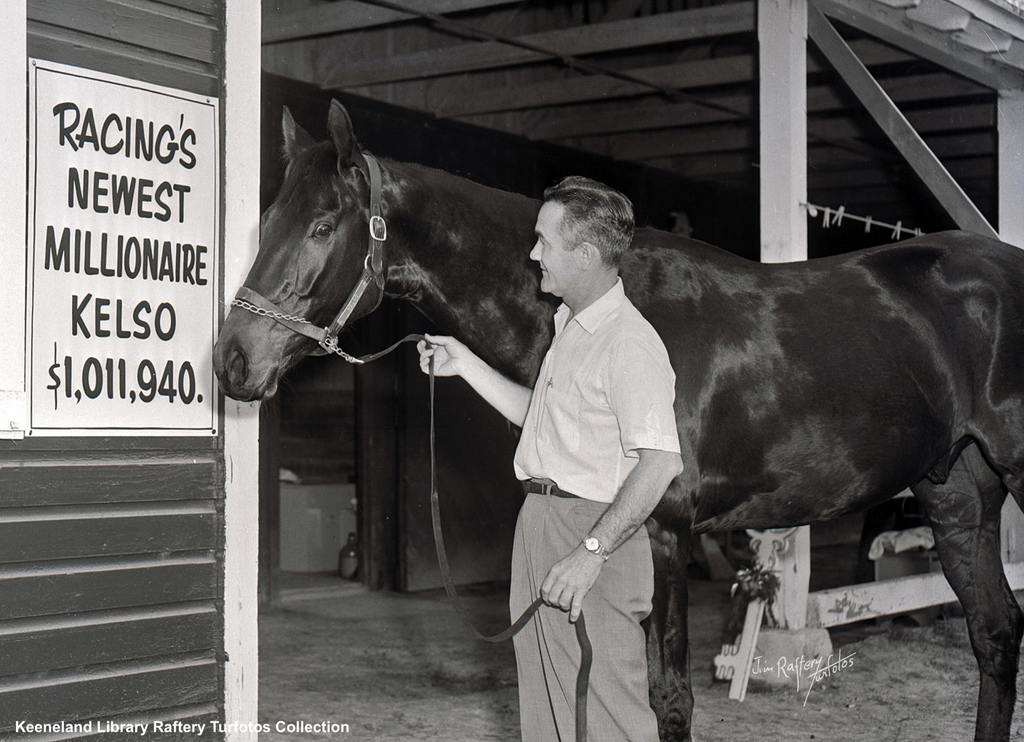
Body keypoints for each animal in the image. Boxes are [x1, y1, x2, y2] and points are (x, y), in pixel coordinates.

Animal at [214, 99, 1024, 740]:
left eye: (323, 226)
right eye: (266, 220)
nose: (232, 360)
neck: (616, 304)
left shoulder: (661, 533)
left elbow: (667, 700)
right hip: (958, 497)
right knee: (995, 634)